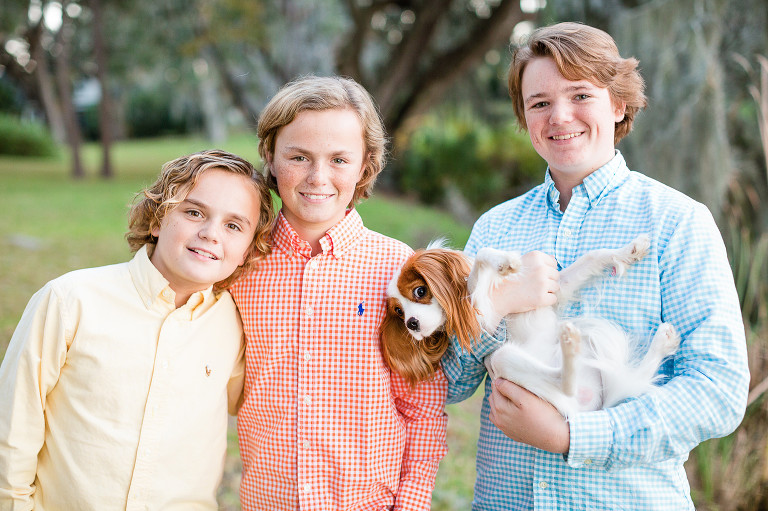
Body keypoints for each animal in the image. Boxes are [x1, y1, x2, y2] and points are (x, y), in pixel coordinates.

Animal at [380, 236, 680, 420]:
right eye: (399, 312)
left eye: (420, 291)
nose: (411, 324)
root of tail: (592, 406)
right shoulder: (482, 318)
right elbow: (481, 260)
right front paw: (505, 263)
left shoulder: (556, 289)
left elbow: (592, 258)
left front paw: (629, 251)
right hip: (507, 359)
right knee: (564, 381)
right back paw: (570, 348)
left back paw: (662, 342)